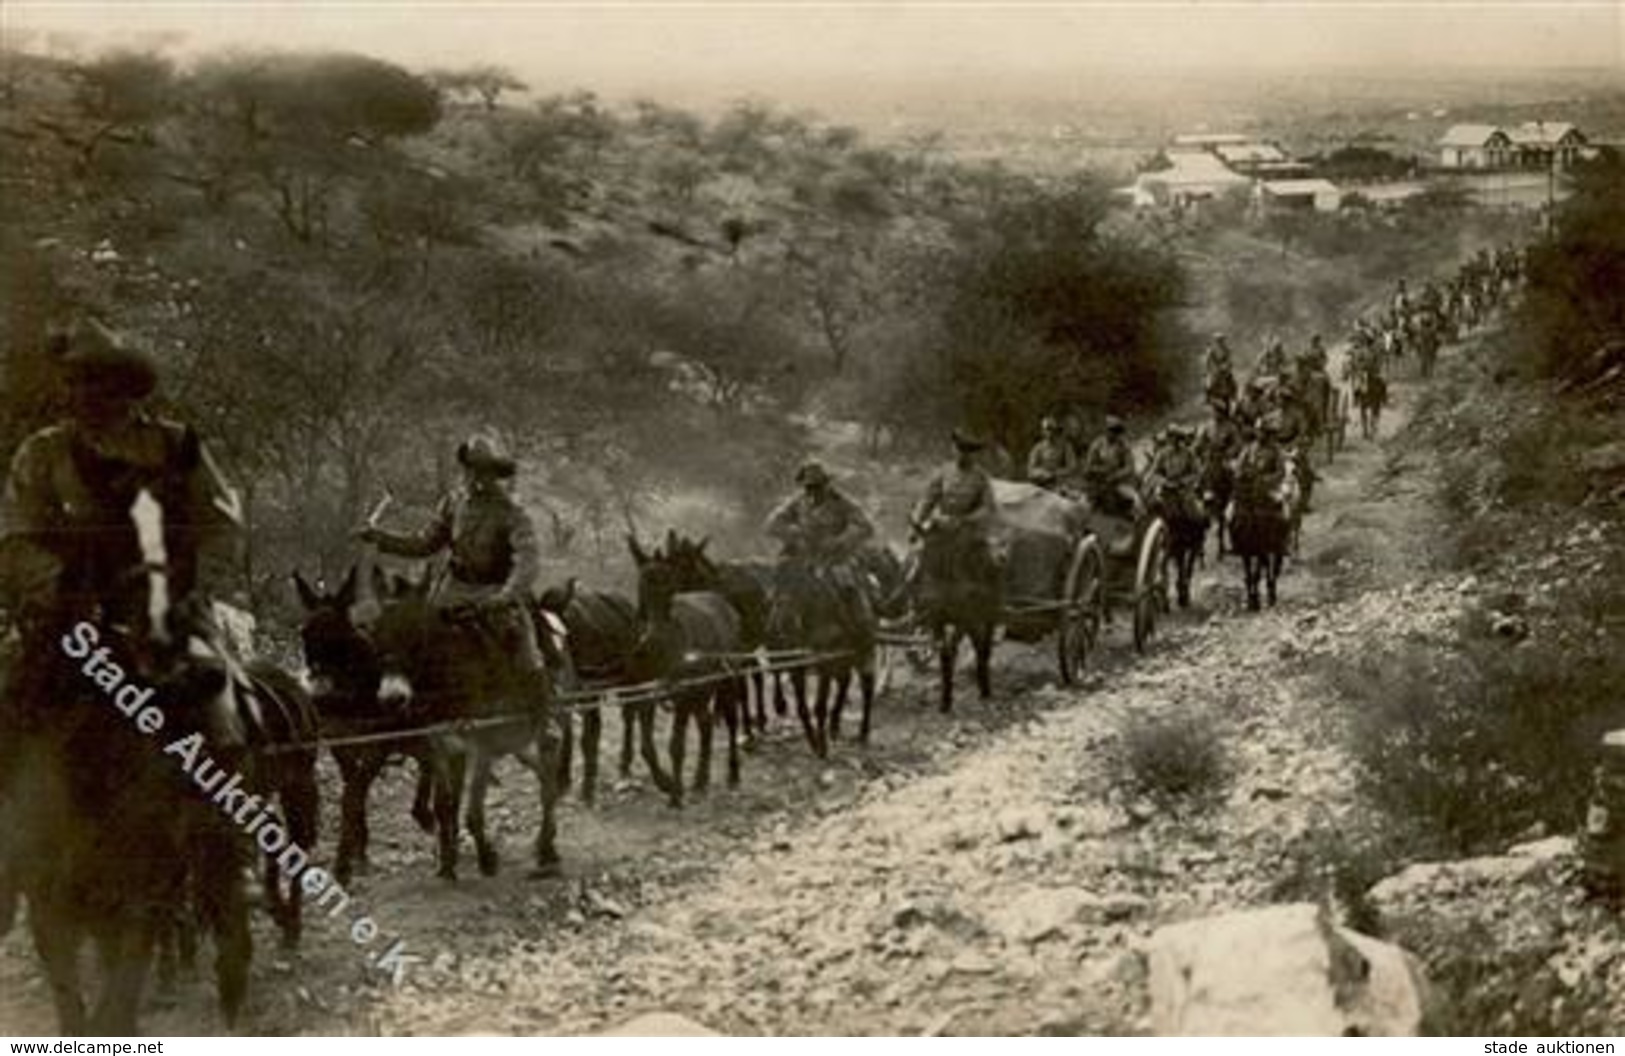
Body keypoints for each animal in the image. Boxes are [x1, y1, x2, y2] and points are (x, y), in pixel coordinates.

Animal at [290, 571, 432, 883]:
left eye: (340, 633)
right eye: (303, 633)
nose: (318, 691)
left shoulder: (378, 744)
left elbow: (352, 794)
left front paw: (343, 864)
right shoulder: (340, 744)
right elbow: (352, 789)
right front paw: (360, 848)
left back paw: (425, 814)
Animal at [526, 575, 666, 799]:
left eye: (559, 642)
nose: (555, 670)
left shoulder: (587, 692)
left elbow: (585, 737)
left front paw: (585, 789)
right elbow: (568, 733)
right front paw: (563, 780)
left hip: (626, 681)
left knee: (628, 716)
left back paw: (623, 767)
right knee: (621, 717)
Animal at [627, 536, 747, 805]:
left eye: (669, 588)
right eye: (641, 588)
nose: (652, 642)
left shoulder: (682, 695)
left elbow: (676, 745)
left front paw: (675, 794)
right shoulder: (645, 695)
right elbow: (646, 747)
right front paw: (666, 782)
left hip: (723, 680)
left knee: (731, 720)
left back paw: (733, 772)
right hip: (701, 689)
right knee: (706, 722)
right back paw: (701, 779)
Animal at [760, 552, 877, 757]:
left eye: (801, 586)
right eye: (773, 589)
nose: (779, 624)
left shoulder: (828, 663)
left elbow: (820, 706)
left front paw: (821, 743)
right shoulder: (801, 664)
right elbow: (803, 707)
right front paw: (815, 741)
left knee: (859, 686)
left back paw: (853, 730)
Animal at [916, 516, 1001, 711]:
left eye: (942, 557)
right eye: (923, 555)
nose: (926, 599)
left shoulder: (965, 618)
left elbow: (953, 650)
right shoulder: (936, 620)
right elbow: (944, 653)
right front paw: (945, 700)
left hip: (990, 609)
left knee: (984, 642)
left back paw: (985, 685)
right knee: (978, 641)